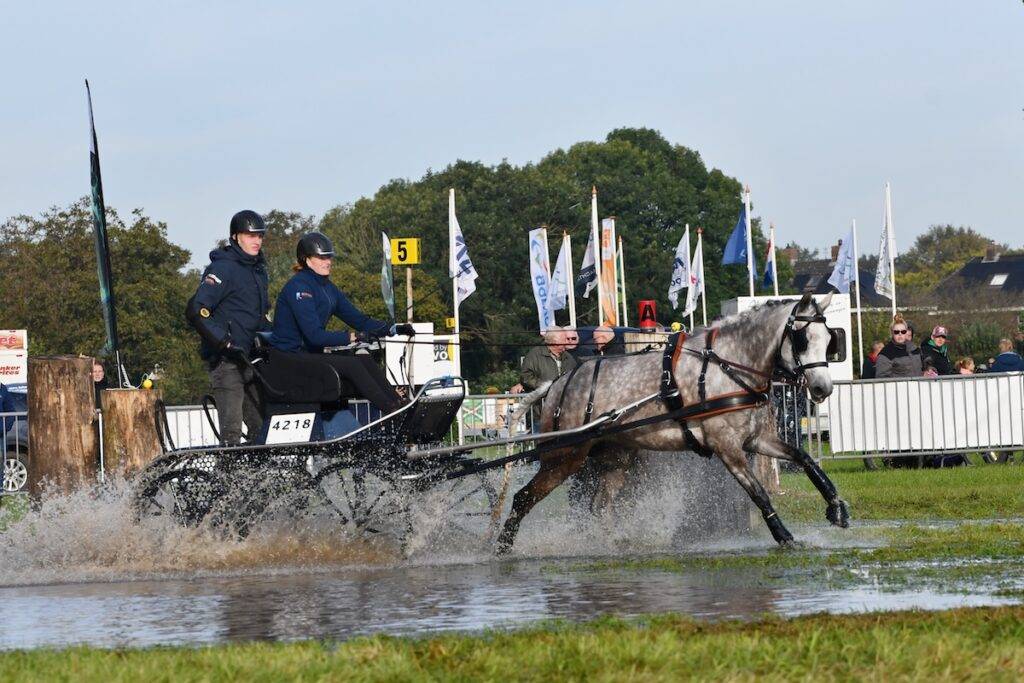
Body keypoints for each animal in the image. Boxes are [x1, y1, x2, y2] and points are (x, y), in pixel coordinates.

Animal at [496, 293, 850, 553]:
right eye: (803, 339)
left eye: (829, 339)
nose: (823, 388)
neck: (728, 367)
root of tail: (556, 384)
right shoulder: (727, 447)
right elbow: (758, 492)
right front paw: (784, 536)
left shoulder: (756, 439)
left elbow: (806, 459)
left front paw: (837, 508)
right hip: (563, 457)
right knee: (523, 498)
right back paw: (500, 547)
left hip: (613, 460)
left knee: (599, 505)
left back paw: (606, 543)